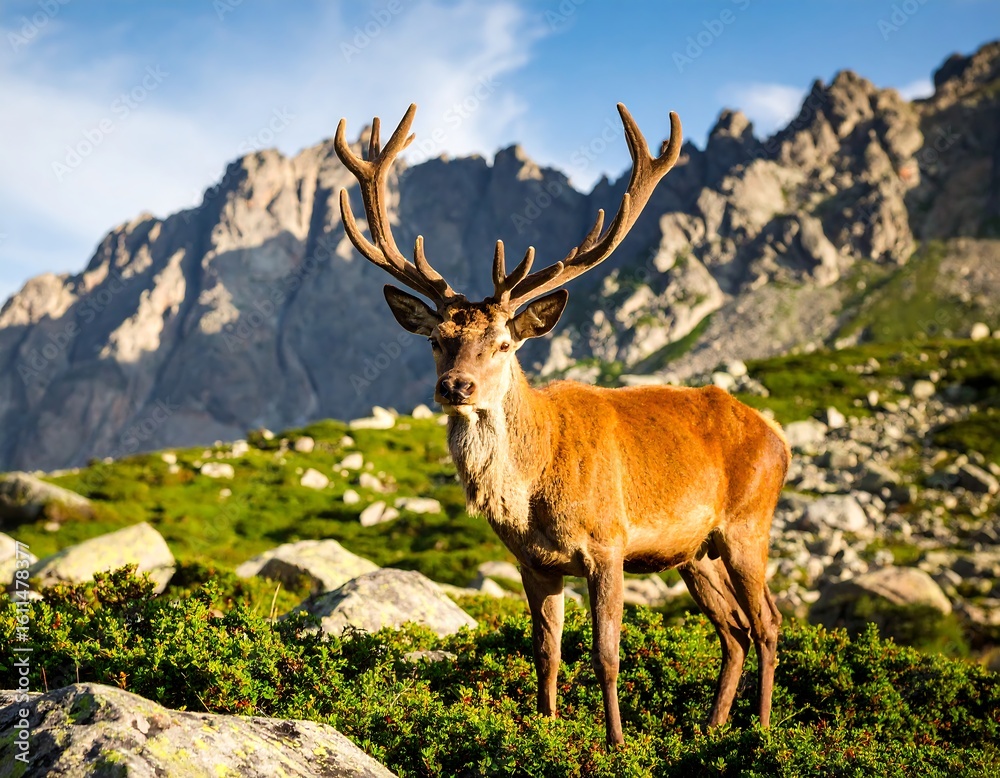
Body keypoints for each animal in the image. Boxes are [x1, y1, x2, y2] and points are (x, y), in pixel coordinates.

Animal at [334, 103, 789, 747]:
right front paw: (544, 733)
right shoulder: (535, 563)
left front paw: (616, 744)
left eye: (503, 343)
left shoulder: (609, 544)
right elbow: (545, 652)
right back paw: (711, 729)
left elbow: (607, 654)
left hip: (749, 524)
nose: (455, 387)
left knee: (768, 621)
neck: (534, 492)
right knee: (734, 629)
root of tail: (780, 439)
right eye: (436, 339)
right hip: (693, 551)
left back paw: (764, 733)